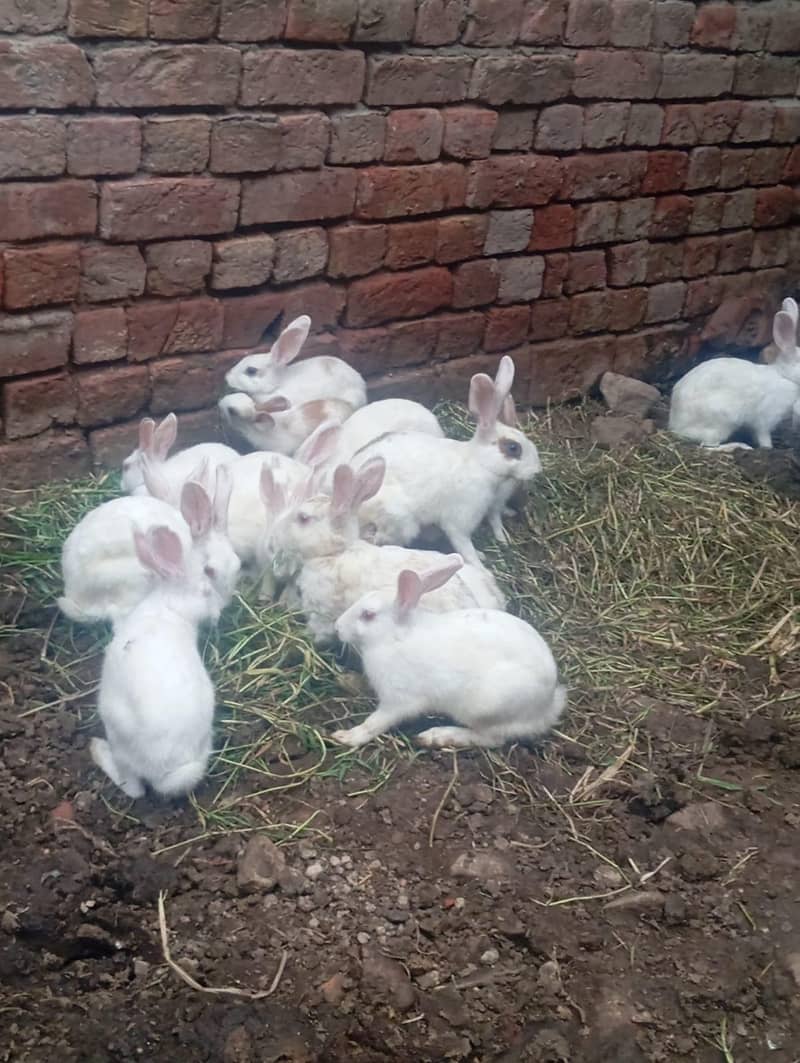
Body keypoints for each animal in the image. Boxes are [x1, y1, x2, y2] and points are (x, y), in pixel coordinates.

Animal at [91, 526, 218, 798]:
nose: (215, 614)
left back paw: (96, 748)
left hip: (116, 732)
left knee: (132, 788)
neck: (169, 608)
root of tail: (163, 769)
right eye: (205, 590)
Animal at [332, 555, 566, 750]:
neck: (393, 637)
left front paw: (346, 737)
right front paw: (348, 681)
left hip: (485, 707)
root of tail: (548, 706)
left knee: (491, 739)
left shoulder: (398, 700)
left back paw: (436, 736)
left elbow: (375, 722)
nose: (337, 627)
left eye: (368, 615)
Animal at [354, 356, 541, 567]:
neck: (479, 464)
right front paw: (480, 564)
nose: (537, 469)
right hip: (399, 521)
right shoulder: (459, 523)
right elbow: (465, 548)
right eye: (513, 448)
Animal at [669, 299, 800, 450]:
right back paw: (738, 446)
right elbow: (763, 436)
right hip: (722, 420)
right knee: (709, 446)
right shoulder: (766, 419)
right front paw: (768, 448)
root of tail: (676, 426)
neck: (784, 375)